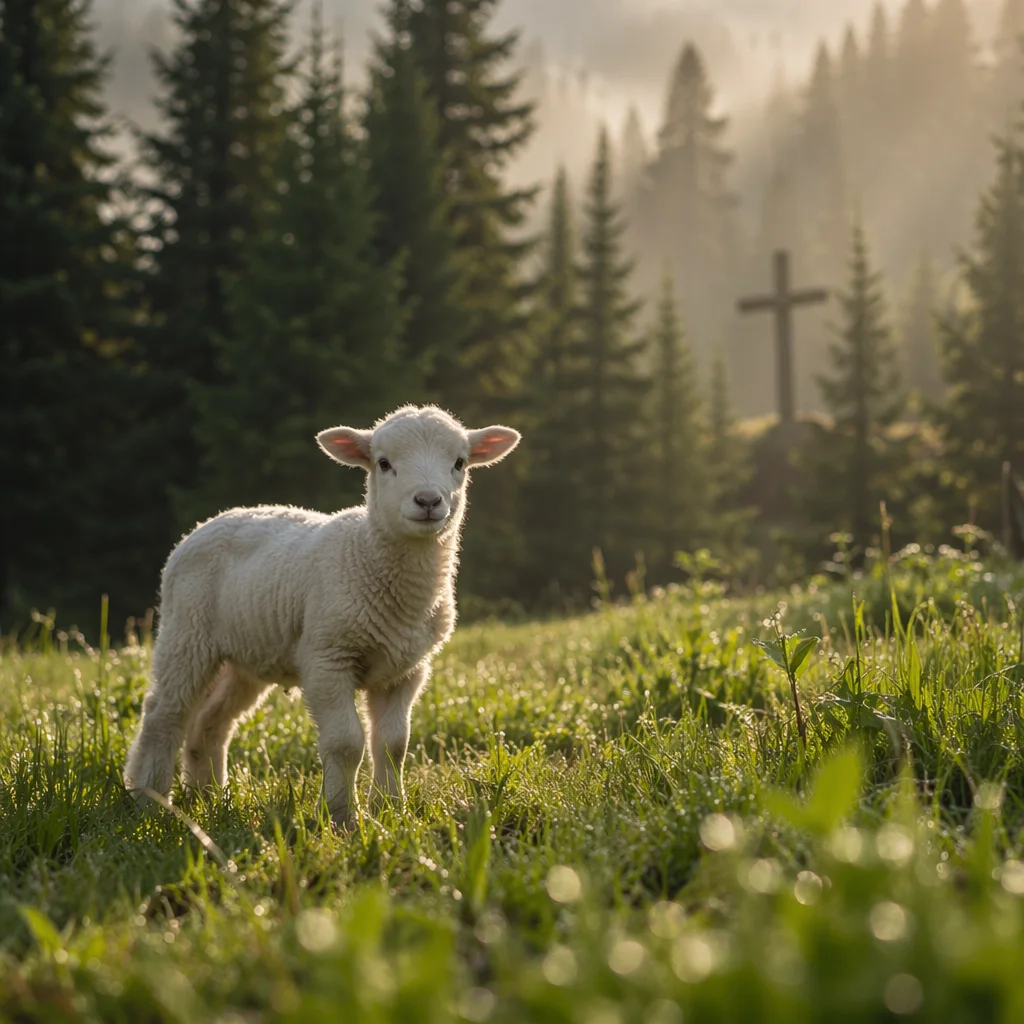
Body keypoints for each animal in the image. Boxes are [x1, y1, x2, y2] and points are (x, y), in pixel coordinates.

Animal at [123, 404, 521, 827]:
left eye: (459, 463)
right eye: (383, 463)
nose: (428, 500)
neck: (369, 557)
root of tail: (210, 521)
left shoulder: (407, 669)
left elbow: (394, 743)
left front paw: (389, 811)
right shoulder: (327, 657)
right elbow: (346, 742)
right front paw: (341, 818)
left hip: (246, 656)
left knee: (211, 722)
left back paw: (210, 797)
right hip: (186, 631)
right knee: (164, 714)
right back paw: (149, 800)